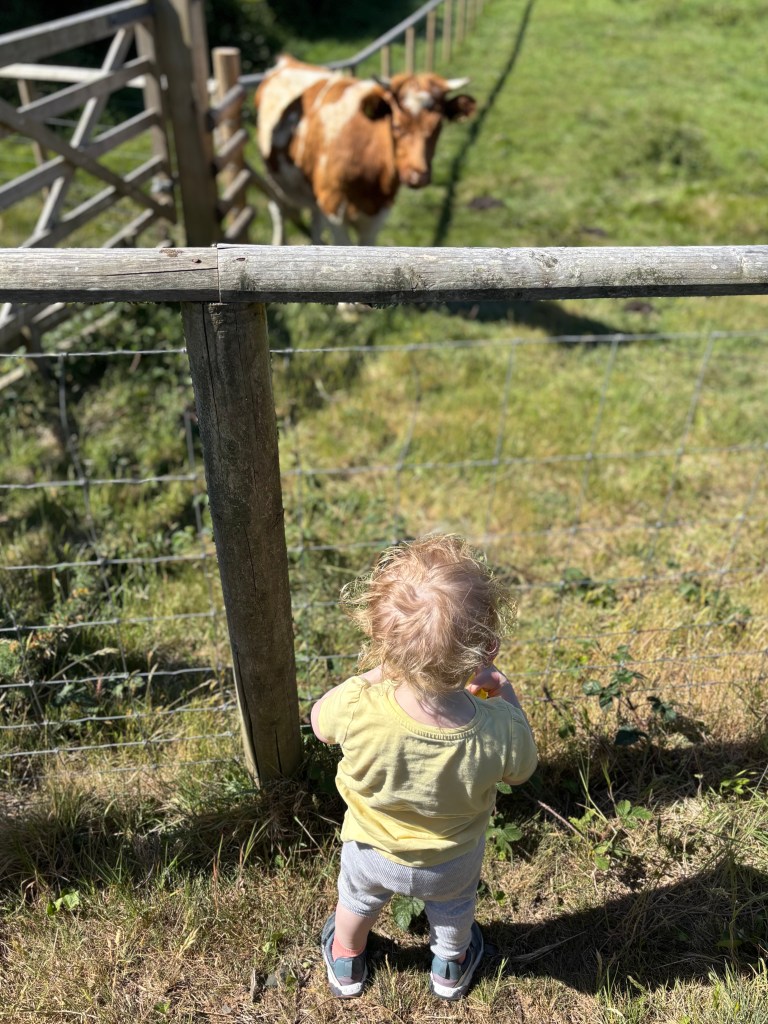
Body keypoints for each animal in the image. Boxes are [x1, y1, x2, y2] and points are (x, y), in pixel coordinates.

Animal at [254, 54, 476, 246]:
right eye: (396, 125)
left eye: (438, 126)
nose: (417, 177)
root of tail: (288, 61)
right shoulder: (333, 208)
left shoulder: (378, 213)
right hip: (275, 178)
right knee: (278, 209)